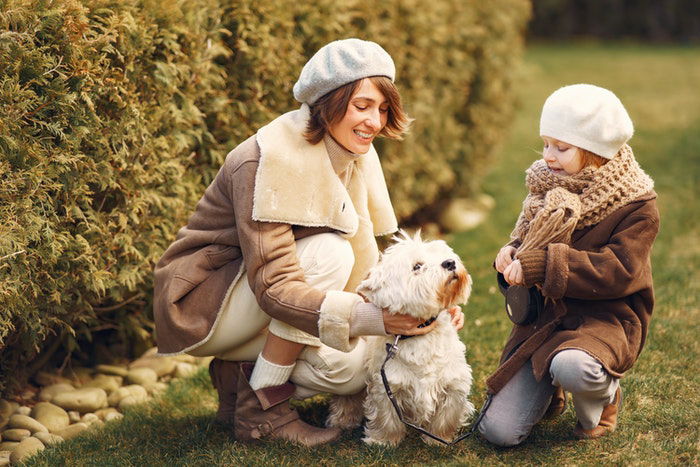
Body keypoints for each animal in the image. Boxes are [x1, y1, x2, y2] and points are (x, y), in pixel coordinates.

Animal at [328, 232, 476, 448]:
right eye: (417, 266)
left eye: (442, 254)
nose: (450, 263)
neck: (421, 337)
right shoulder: (386, 384)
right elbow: (387, 418)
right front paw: (384, 442)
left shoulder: (453, 383)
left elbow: (446, 416)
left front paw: (438, 440)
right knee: (346, 398)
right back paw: (342, 420)